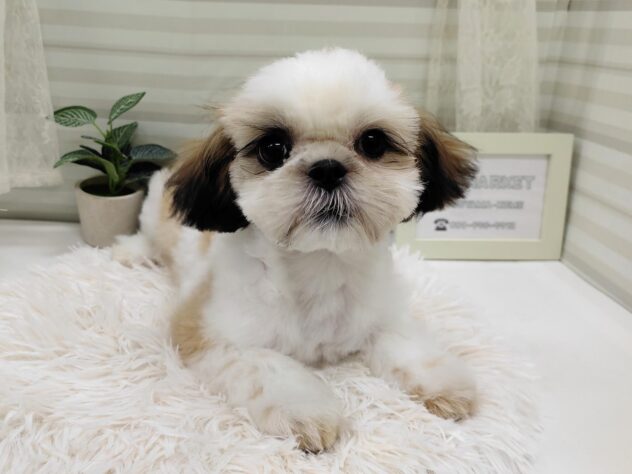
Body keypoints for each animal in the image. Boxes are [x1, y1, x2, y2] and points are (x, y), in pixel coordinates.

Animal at [113, 48, 478, 453]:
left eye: (373, 142)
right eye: (273, 148)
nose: (328, 168)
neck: (320, 266)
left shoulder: (381, 314)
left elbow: (407, 345)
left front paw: (444, 383)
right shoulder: (207, 332)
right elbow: (266, 367)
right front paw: (305, 411)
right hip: (156, 207)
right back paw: (134, 251)